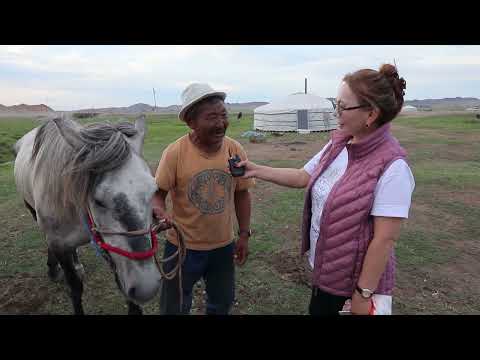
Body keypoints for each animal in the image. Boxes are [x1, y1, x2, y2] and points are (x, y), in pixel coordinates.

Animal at [12, 116, 163, 316]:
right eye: (98, 200)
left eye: (153, 191)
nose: (147, 286)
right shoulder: (58, 243)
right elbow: (75, 287)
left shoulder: (105, 242)